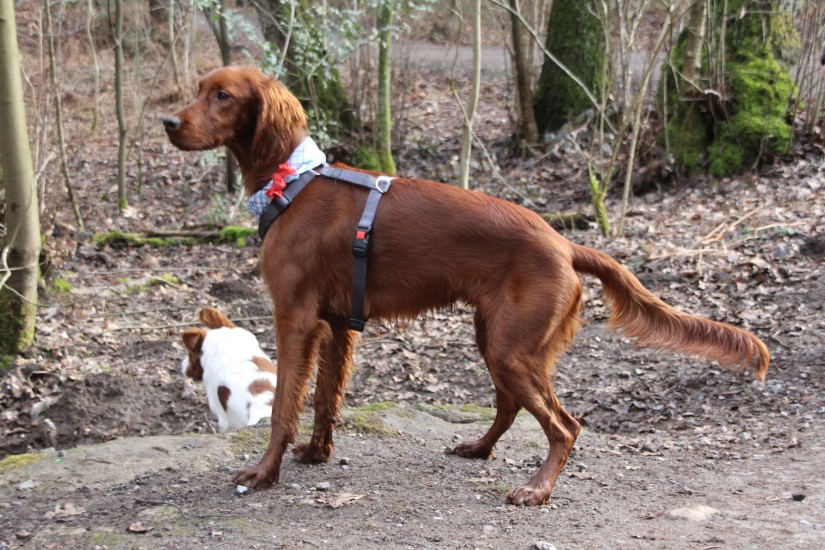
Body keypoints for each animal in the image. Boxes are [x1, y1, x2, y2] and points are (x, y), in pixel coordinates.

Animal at [163, 65, 770, 505]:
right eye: (199, 90)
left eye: (223, 95)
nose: (168, 122)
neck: (294, 183)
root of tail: (563, 243)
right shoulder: (337, 325)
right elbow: (325, 399)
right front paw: (317, 454)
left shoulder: (295, 319)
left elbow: (284, 407)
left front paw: (264, 473)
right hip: (498, 339)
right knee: (510, 407)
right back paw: (479, 448)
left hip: (510, 347)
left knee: (565, 425)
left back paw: (536, 490)